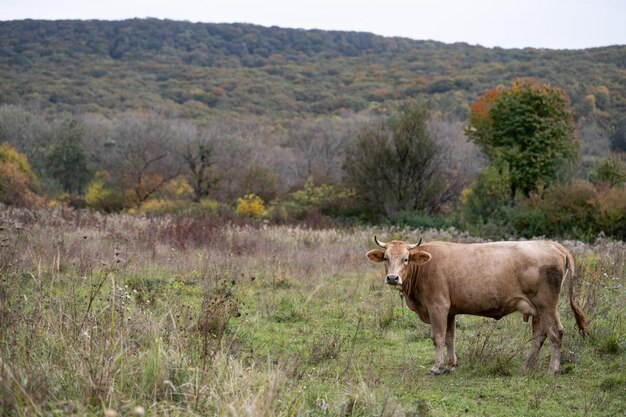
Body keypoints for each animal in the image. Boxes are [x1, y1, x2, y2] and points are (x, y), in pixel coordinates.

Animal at [364, 236, 588, 376]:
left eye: (406, 259)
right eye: (386, 258)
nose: (392, 278)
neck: (425, 267)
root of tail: (554, 245)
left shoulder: (437, 307)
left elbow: (438, 338)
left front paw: (437, 368)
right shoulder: (450, 310)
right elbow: (450, 338)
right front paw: (451, 365)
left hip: (547, 305)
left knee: (555, 332)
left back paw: (553, 369)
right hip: (538, 310)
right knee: (539, 336)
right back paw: (527, 366)